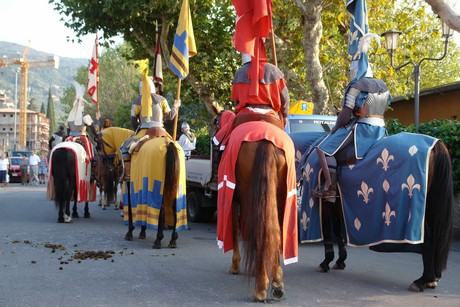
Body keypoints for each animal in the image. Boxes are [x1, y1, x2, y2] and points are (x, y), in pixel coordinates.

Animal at [217, 121, 298, 304]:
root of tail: (265, 139)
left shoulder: (234, 199)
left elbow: (235, 229)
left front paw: (235, 265)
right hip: (279, 197)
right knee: (274, 232)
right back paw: (276, 283)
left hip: (247, 196)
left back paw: (260, 287)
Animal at [298, 131, 452, 292]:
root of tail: (436, 145)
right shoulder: (336, 203)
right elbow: (338, 230)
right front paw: (340, 260)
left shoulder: (325, 202)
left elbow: (328, 229)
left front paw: (326, 261)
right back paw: (433, 278)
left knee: (428, 238)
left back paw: (422, 280)